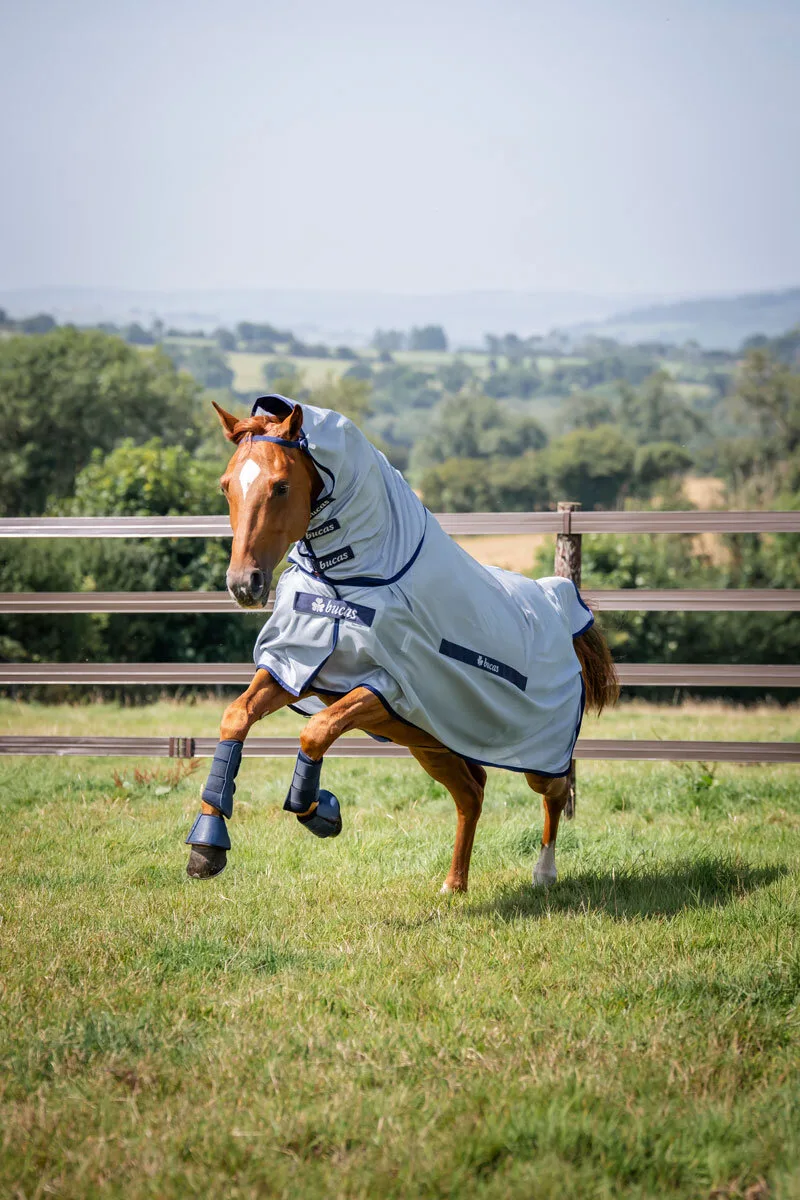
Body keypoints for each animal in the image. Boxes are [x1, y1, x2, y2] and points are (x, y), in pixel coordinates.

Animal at [185, 395, 619, 894]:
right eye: (226, 487)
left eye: (280, 486)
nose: (244, 585)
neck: (350, 580)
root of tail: (560, 606)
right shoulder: (294, 667)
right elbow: (236, 717)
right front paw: (206, 848)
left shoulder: (385, 690)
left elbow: (316, 730)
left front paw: (320, 812)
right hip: (431, 743)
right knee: (472, 793)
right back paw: (454, 884)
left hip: (535, 755)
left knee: (555, 792)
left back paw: (543, 873)